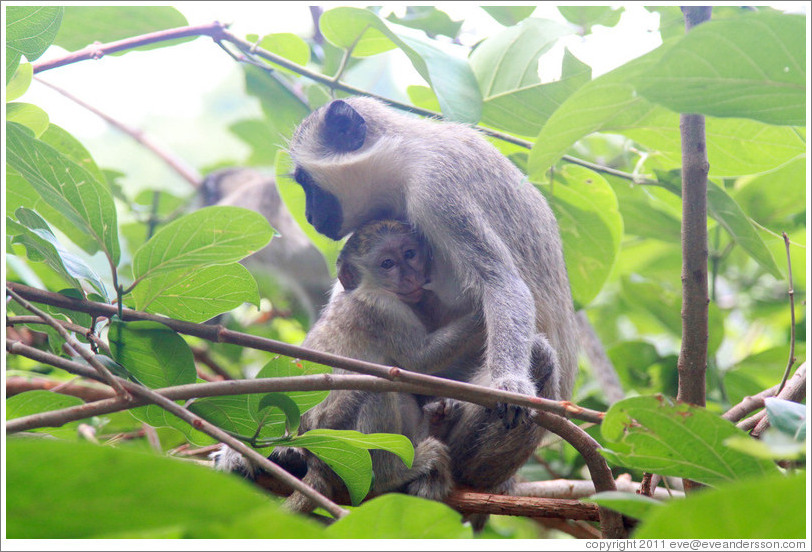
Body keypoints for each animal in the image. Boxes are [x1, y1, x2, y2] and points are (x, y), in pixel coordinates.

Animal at [288, 97, 580, 494]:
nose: (309, 215)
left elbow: (501, 281)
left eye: (307, 183)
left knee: (539, 354)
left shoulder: (436, 189)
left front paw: (510, 384)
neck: (405, 152)